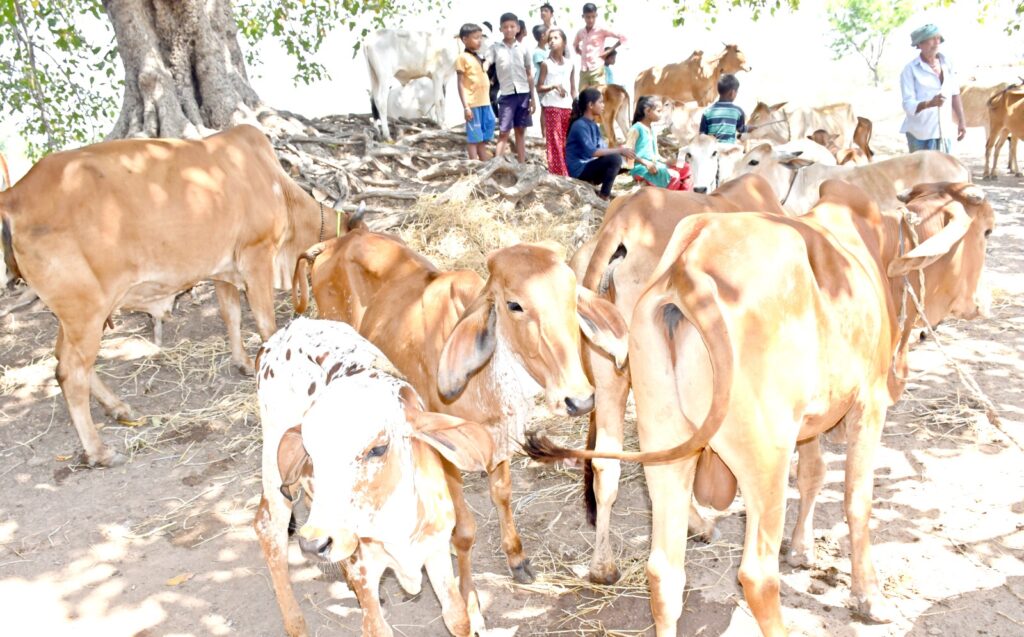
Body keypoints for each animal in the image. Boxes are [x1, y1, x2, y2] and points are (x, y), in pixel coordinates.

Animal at [0, 125, 324, 467]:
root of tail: (14, 194)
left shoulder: (223, 270)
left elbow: (231, 316)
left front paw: (244, 363)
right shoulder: (256, 256)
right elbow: (265, 323)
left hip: (75, 315)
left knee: (64, 358)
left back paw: (118, 408)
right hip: (85, 310)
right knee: (71, 372)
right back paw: (99, 451)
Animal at [254, 318, 494, 637]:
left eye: (378, 449)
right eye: (310, 453)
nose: (315, 544)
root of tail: (287, 330)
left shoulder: (437, 550)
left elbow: (457, 617)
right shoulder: (364, 569)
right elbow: (375, 626)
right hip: (274, 469)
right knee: (268, 527)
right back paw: (296, 623)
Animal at [292, 223, 628, 583]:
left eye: (571, 296)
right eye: (514, 305)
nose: (579, 399)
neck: (489, 377)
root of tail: (336, 242)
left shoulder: (498, 440)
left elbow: (502, 493)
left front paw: (516, 557)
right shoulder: (447, 451)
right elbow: (465, 528)